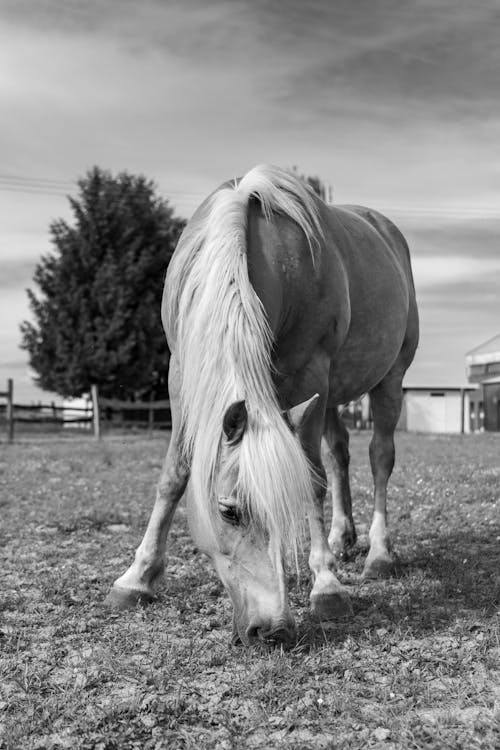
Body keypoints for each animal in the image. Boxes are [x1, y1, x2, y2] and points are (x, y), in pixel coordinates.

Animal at [107, 167, 420, 648]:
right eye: (228, 511)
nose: (272, 629)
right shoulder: (181, 375)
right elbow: (174, 476)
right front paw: (136, 578)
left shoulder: (312, 374)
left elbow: (312, 482)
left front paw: (327, 585)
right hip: (329, 396)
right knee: (339, 454)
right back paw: (341, 537)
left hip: (387, 380)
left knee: (379, 457)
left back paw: (379, 554)